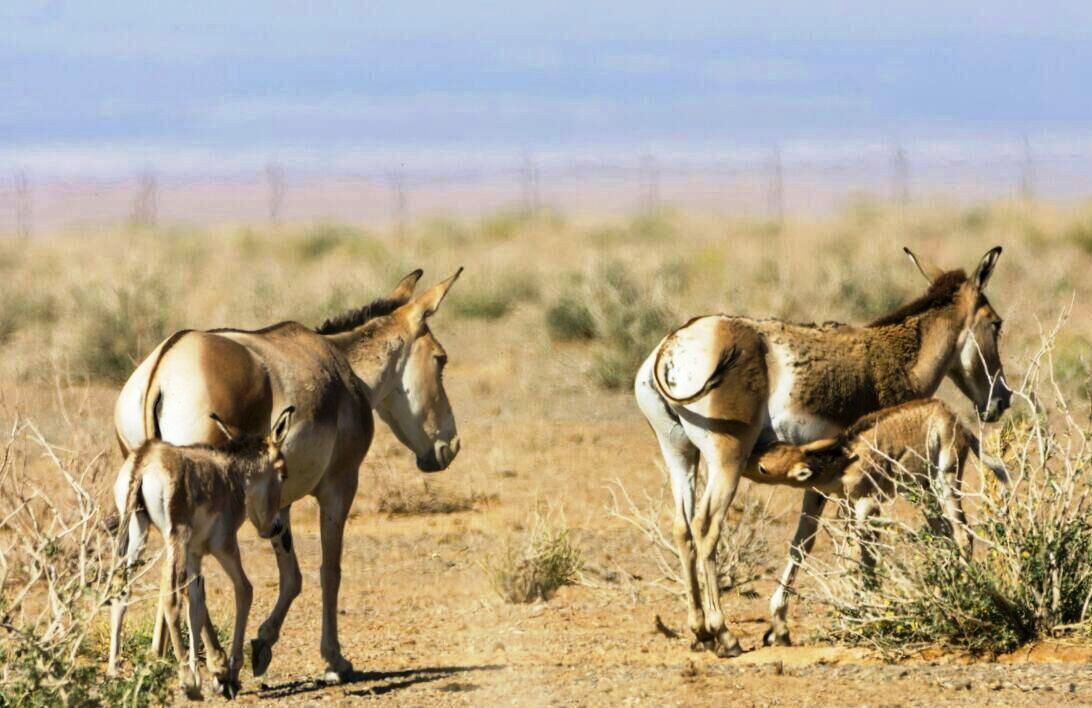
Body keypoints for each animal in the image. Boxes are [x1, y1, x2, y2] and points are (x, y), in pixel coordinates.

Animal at [109, 406, 294, 699]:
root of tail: (145, 458)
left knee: (121, 590)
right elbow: (244, 589)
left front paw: (205, 675)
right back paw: (186, 681)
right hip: (175, 538)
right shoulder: (225, 547)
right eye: (283, 473)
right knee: (171, 599)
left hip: (138, 534)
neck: (231, 473)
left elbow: (196, 605)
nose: (275, 527)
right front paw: (228, 673)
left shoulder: (196, 554)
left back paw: (114, 672)